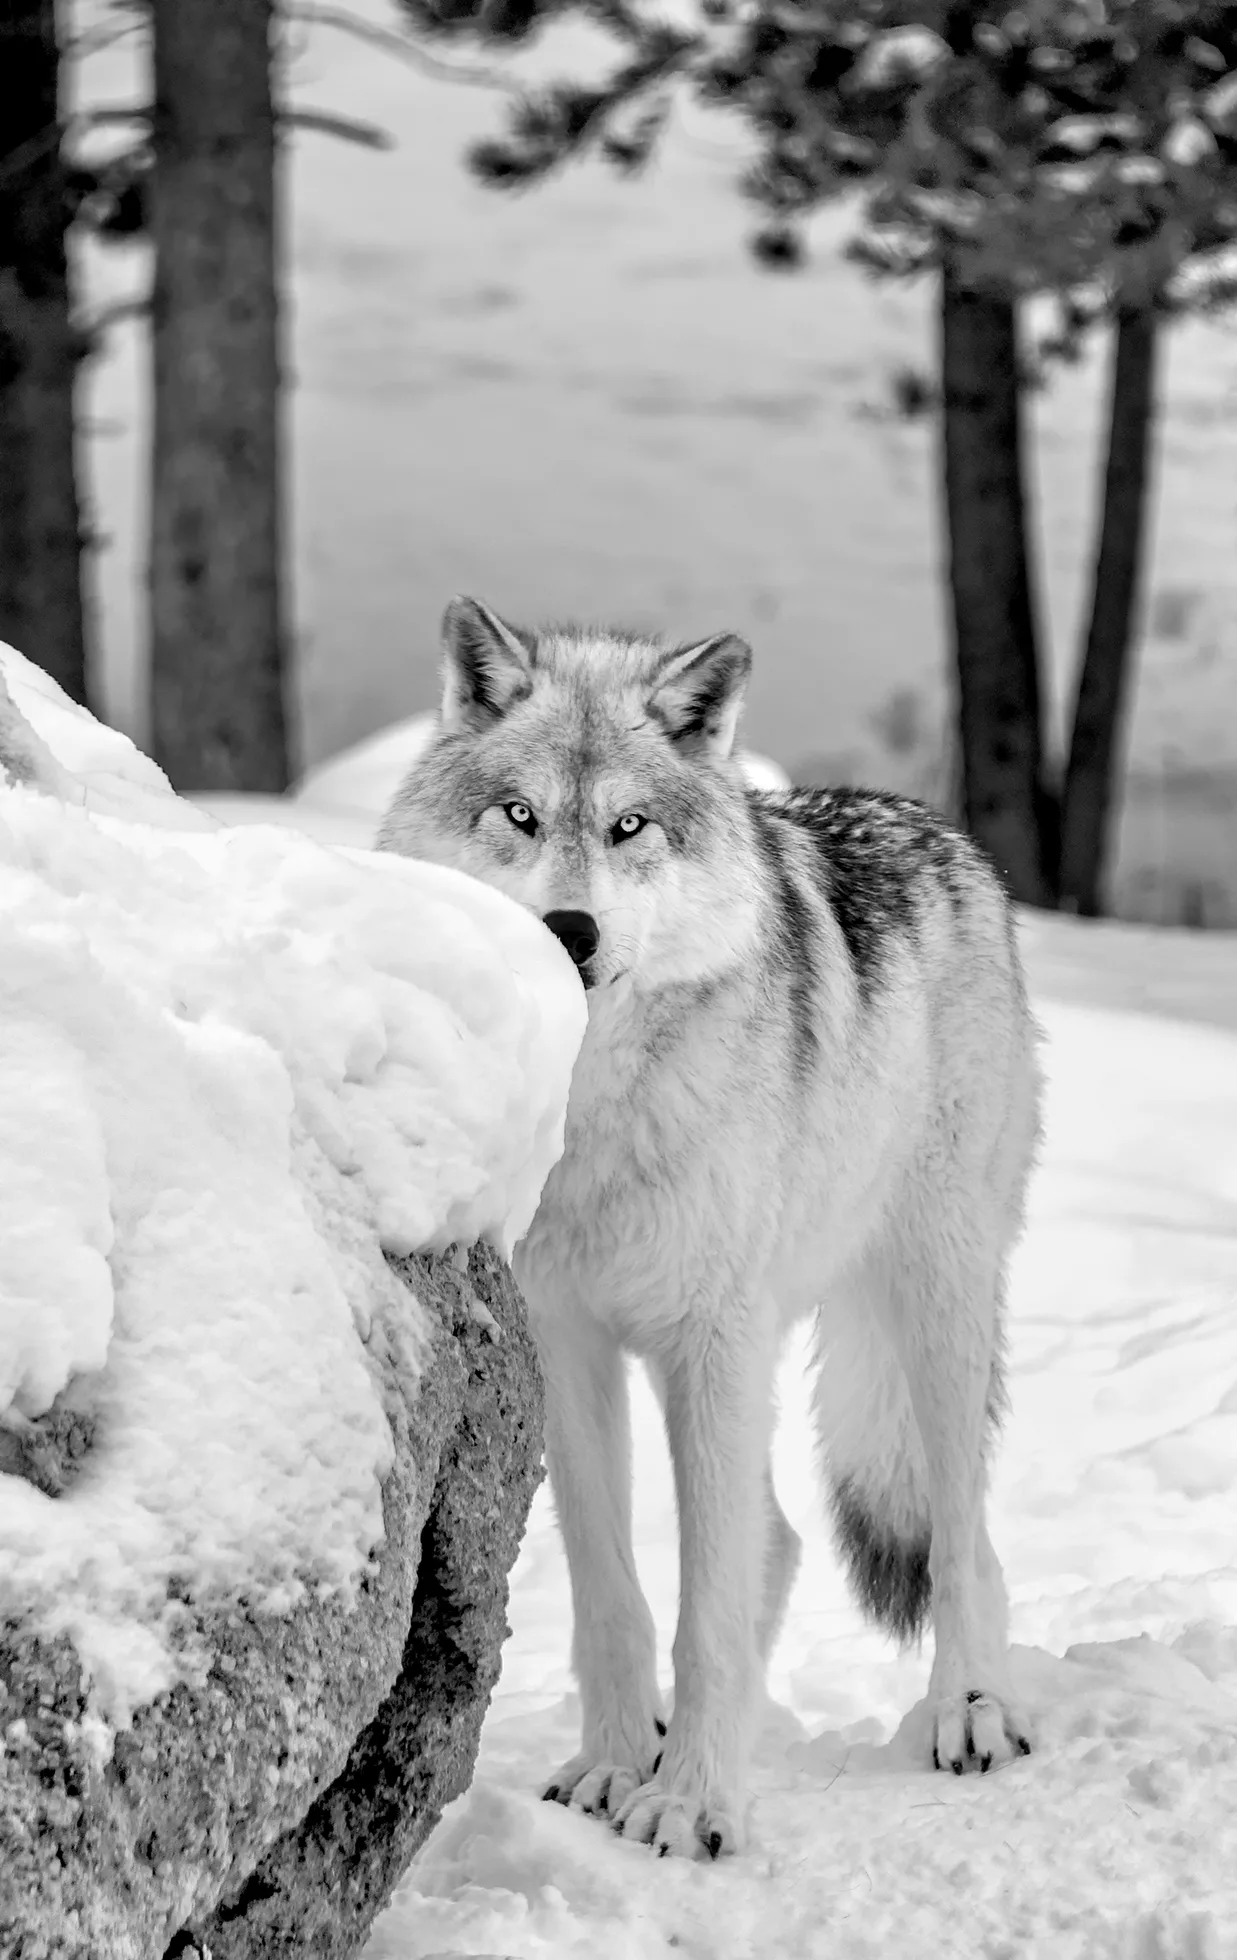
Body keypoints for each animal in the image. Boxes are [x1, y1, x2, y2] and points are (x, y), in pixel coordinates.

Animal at [377, 596, 1041, 1862]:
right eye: (519, 814)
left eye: (629, 824)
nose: (570, 928)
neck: (595, 1110)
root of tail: (939, 828)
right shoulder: (572, 1345)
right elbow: (614, 1593)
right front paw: (612, 1763)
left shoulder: (714, 1346)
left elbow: (708, 1610)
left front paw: (690, 1804)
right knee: (794, 1537)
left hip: (931, 1307)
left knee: (961, 1534)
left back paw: (972, 1713)